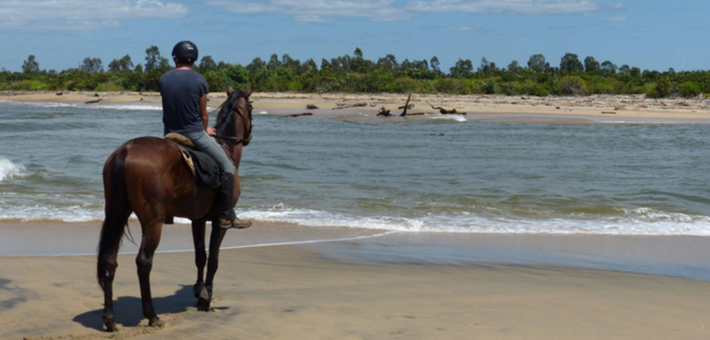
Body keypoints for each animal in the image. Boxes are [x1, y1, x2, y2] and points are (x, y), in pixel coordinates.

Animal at [96, 85, 254, 332]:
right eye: (252, 107)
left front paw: (200, 292)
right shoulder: (220, 222)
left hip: (117, 213)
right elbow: (214, 259)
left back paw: (110, 319)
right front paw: (207, 297)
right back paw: (151, 315)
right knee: (143, 262)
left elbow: (200, 256)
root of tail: (125, 150)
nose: (248, 136)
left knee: (109, 260)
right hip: (153, 221)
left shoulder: (198, 219)